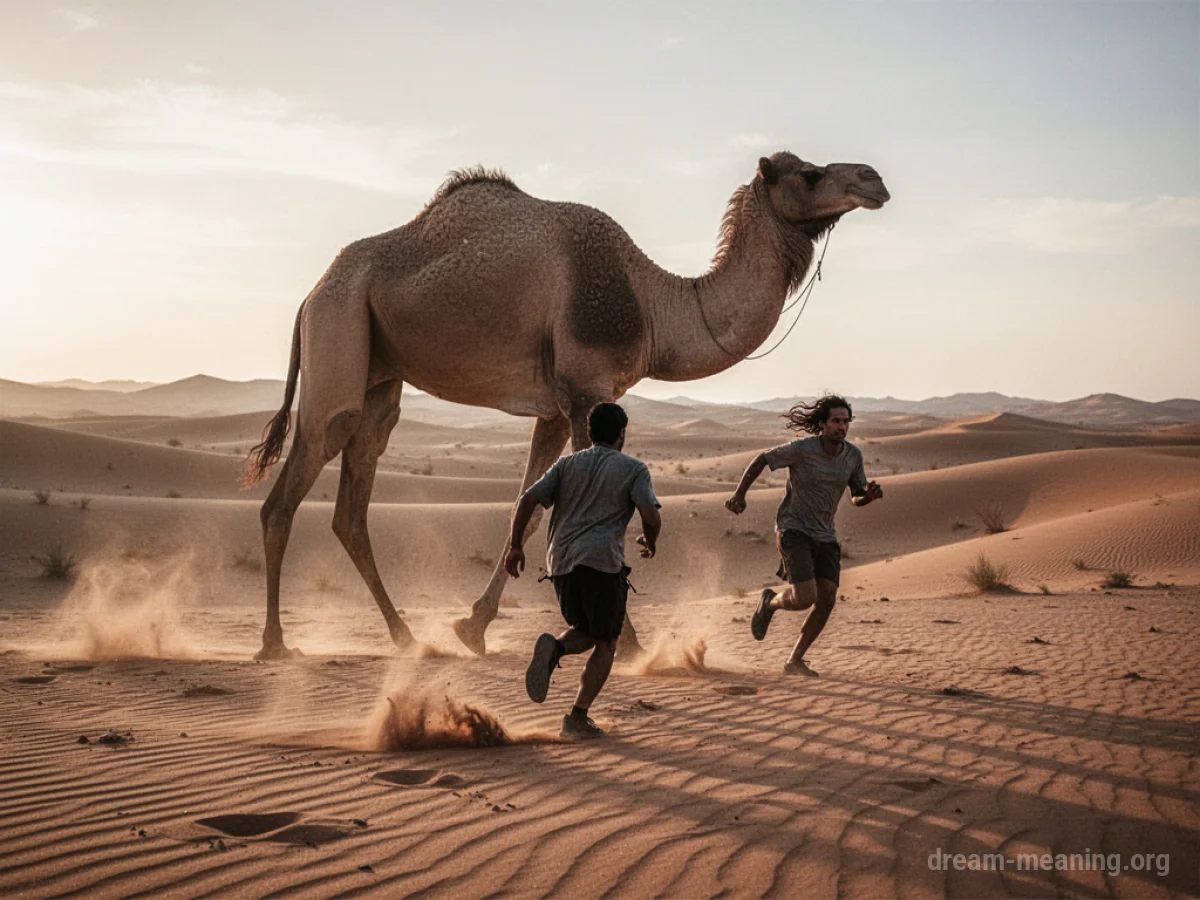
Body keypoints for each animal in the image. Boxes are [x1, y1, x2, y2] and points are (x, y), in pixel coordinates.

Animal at [243, 151, 890, 661]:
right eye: (809, 174)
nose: (874, 178)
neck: (652, 304)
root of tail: (310, 294)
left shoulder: (555, 409)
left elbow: (526, 508)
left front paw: (471, 627)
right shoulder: (586, 394)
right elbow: (594, 518)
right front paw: (625, 641)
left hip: (380, 371)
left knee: (353, 501)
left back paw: (404, 636)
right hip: (340, 330)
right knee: (289, 492)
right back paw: (274, 644)